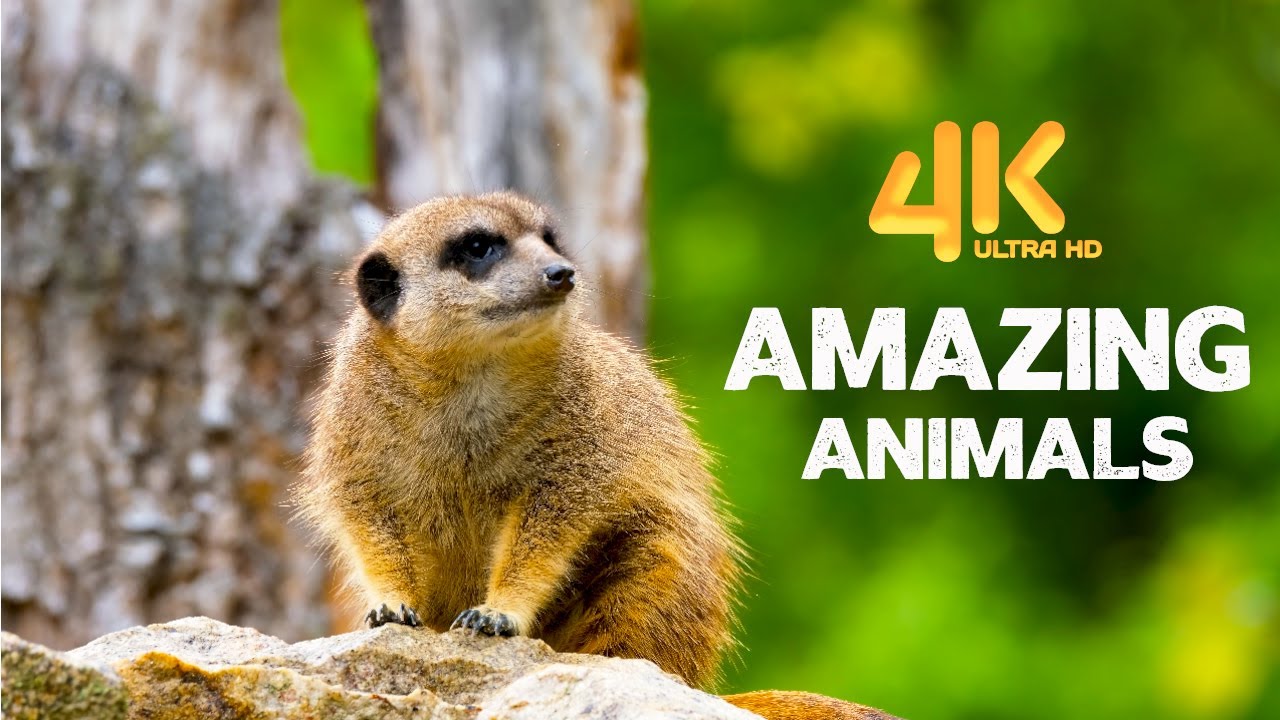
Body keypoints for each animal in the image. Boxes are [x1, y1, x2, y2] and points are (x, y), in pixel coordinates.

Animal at [295, 192, 899, 720]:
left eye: (549, 239)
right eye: (478, 246)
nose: (560, 272)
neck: (470, 380)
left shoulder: (581, 430)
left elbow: (553, 522)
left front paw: (498, 611)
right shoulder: (352, 431)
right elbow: (368, 515)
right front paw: (390, 605)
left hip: (664, 563)